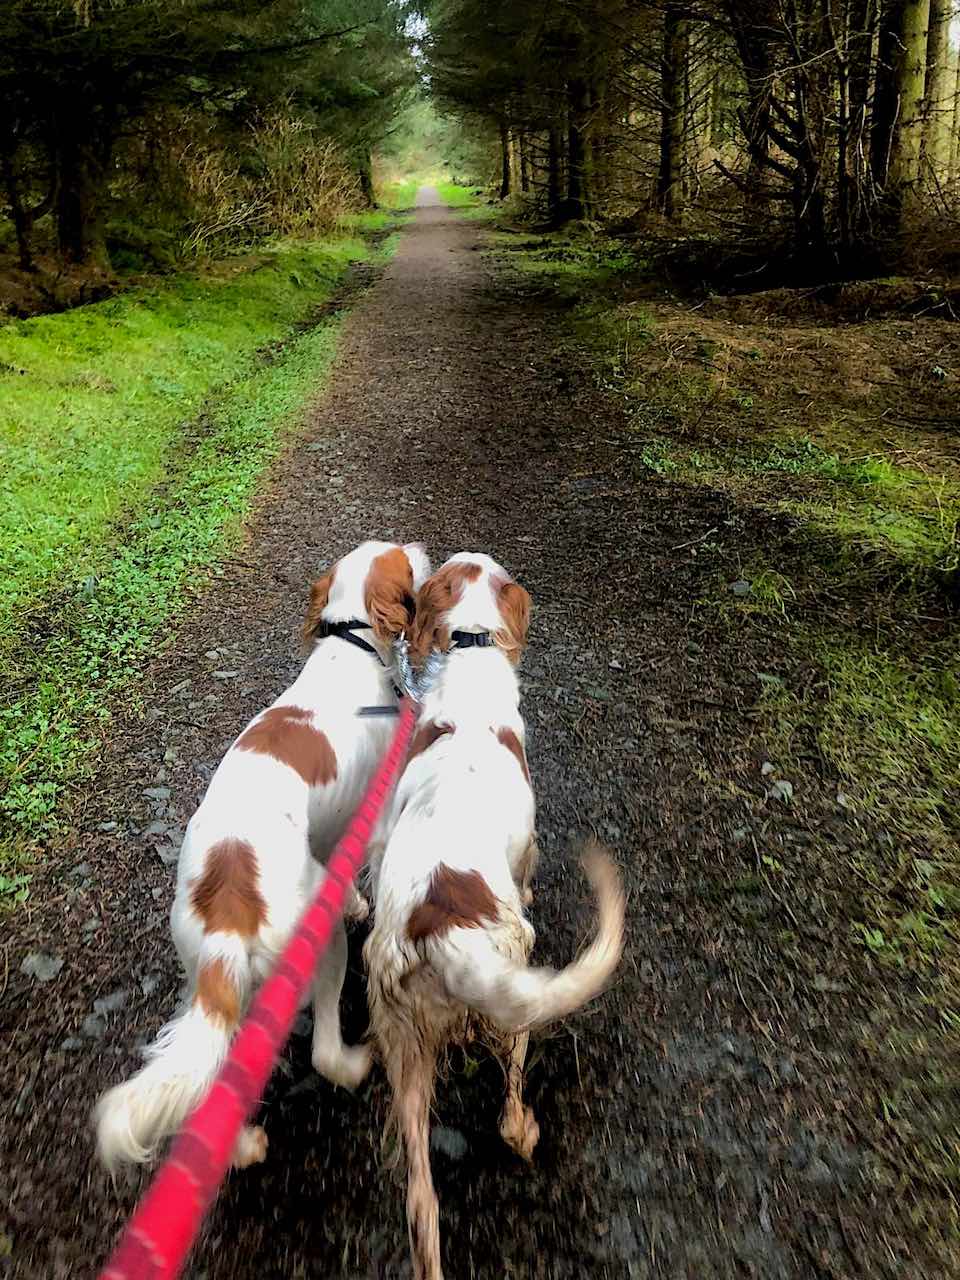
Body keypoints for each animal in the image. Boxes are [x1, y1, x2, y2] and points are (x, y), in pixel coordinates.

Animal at [94, 538, 430, 1171]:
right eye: (403, 558)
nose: (421, 548)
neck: (349, 646)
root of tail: (232, 907)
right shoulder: (373, 819)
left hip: (208, 969)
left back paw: (241, 1143)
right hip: (317, 945)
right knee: (322, 1051)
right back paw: (352, 1064)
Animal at [363, 553, 625, 1280]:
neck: (472, 644)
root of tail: (440, 927)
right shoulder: (528, 847)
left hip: (403, 1045)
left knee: (421, 1200)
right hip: (512, 987)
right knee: (509, 1108)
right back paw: (526, 1131)